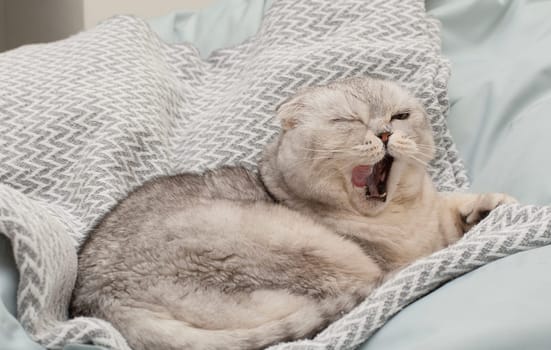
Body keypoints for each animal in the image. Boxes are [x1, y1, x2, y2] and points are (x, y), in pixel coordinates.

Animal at [70, 78, 516, 348]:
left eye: (400, 116)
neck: (400, 218)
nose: (386, 133)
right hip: (314, 248)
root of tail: (103, 303)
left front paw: (488, 207)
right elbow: (432, 245)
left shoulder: (433, 213)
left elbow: (456, 206)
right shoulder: (387, 250)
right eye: (347, 120)